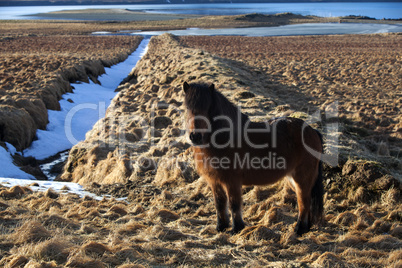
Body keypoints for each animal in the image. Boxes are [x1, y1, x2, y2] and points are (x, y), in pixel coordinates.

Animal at [184, 81, 326, 234]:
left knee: (304, 203)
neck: (227, 138)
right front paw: (221, 227)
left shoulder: (232, 181)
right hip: (293, 179)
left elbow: (234, 204)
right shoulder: (214, 181)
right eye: (187, 108)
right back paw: (305, 228)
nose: (195, 136)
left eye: (208, 108)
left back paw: (299, 229)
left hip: (302, 179)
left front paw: (237, 228)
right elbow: (220, 204)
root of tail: (312, 130)